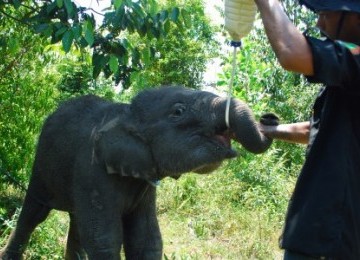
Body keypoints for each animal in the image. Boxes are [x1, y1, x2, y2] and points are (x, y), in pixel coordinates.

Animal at [0, 86, 278, 258]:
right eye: (178, 111)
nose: (270, 118)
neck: (127, 114)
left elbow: (146, 239)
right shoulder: (92, 170)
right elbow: (104, 239)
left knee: (76, 221)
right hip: (42, 164)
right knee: (34, 214)